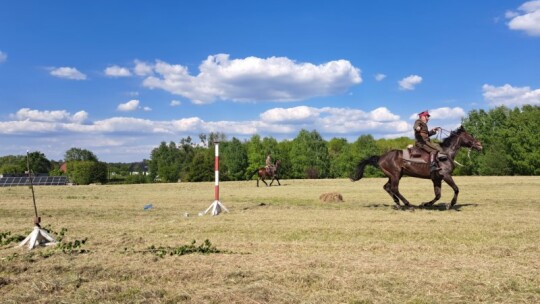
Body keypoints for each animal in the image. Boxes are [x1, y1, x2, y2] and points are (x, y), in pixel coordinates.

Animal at [352, 126, 484, 209]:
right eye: (470, 136)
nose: (480, 145)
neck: (446, 153)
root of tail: (381, 157)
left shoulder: (437, 179)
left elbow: (438, 195)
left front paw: (426, 204)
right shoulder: (446, 176)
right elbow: (456, 189)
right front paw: (451, 204)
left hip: (395, 175)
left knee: (387, 187)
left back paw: (398, 203)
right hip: (395, 175)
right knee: (394, 188)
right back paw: (408, 204)